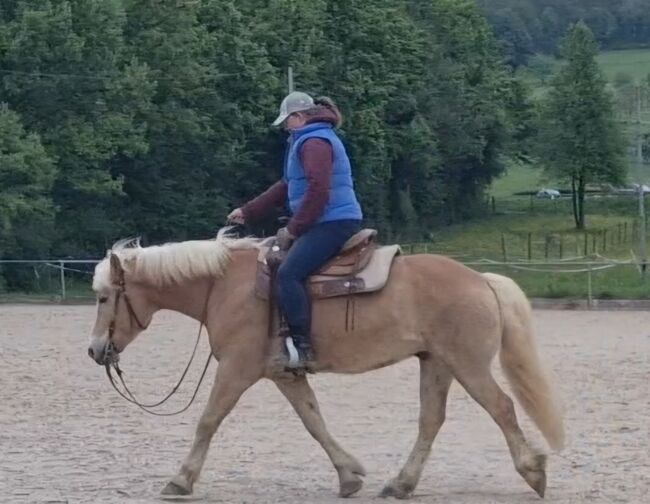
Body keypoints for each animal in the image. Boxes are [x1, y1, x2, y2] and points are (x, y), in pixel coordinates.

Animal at [86, 230, 560, 498]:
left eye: (104, 297)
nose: (94, 351)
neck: (225, 286)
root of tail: (480, 279)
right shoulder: (284, 374)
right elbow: (314, 421)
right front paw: (350, 475)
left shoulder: (236, 370)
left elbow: (208, 421)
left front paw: (181, 480)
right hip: (437, 363)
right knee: (431, 421)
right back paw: (400, 485)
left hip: (468, 365)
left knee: (501, 408)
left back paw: (533, 472)